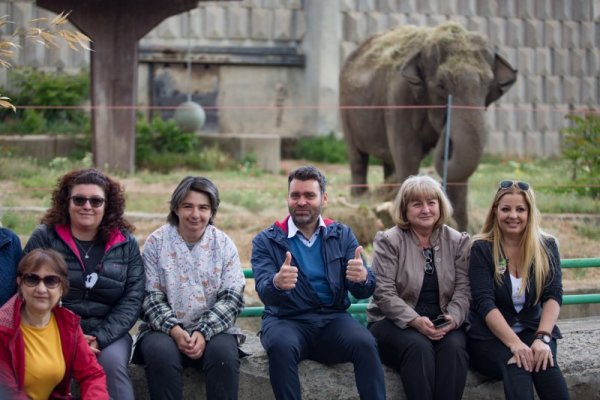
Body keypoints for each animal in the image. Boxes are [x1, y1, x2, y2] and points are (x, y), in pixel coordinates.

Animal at [340, 22, 516, 231]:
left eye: (488, 85)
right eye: (441, 85)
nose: (445, 129)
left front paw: (459, 228)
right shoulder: (399, 98)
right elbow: (408, 153)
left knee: (388, 161)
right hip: (346, 109)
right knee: (358, 158)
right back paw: (359, 199)